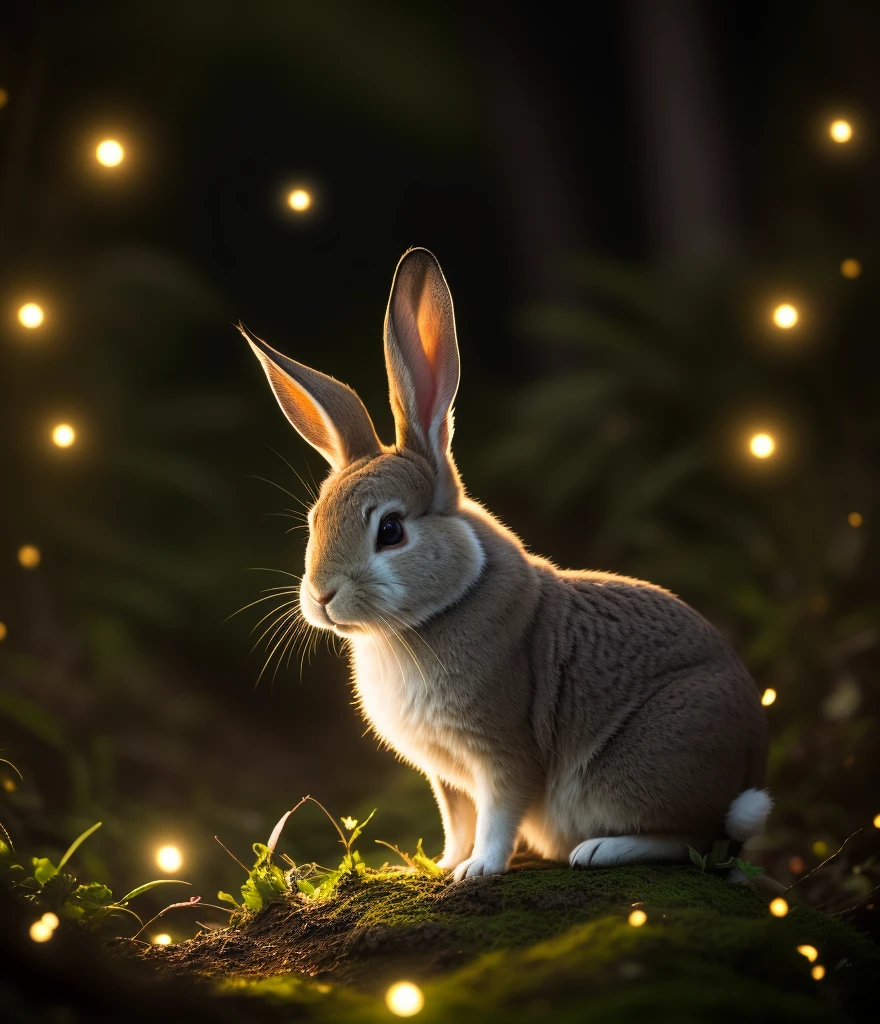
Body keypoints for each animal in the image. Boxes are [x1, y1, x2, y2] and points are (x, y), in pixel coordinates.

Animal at [242, 245, 770, 880]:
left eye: (390, 531)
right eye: (313, 522)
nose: (321, 596)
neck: (435, 612)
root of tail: (749, 761)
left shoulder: (503, 751)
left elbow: (498, 816)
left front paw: (476, 871)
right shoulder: (446, 775)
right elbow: (458, 821)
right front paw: (439, 866)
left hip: (643, 768)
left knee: (691, 840)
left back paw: (599, 850)